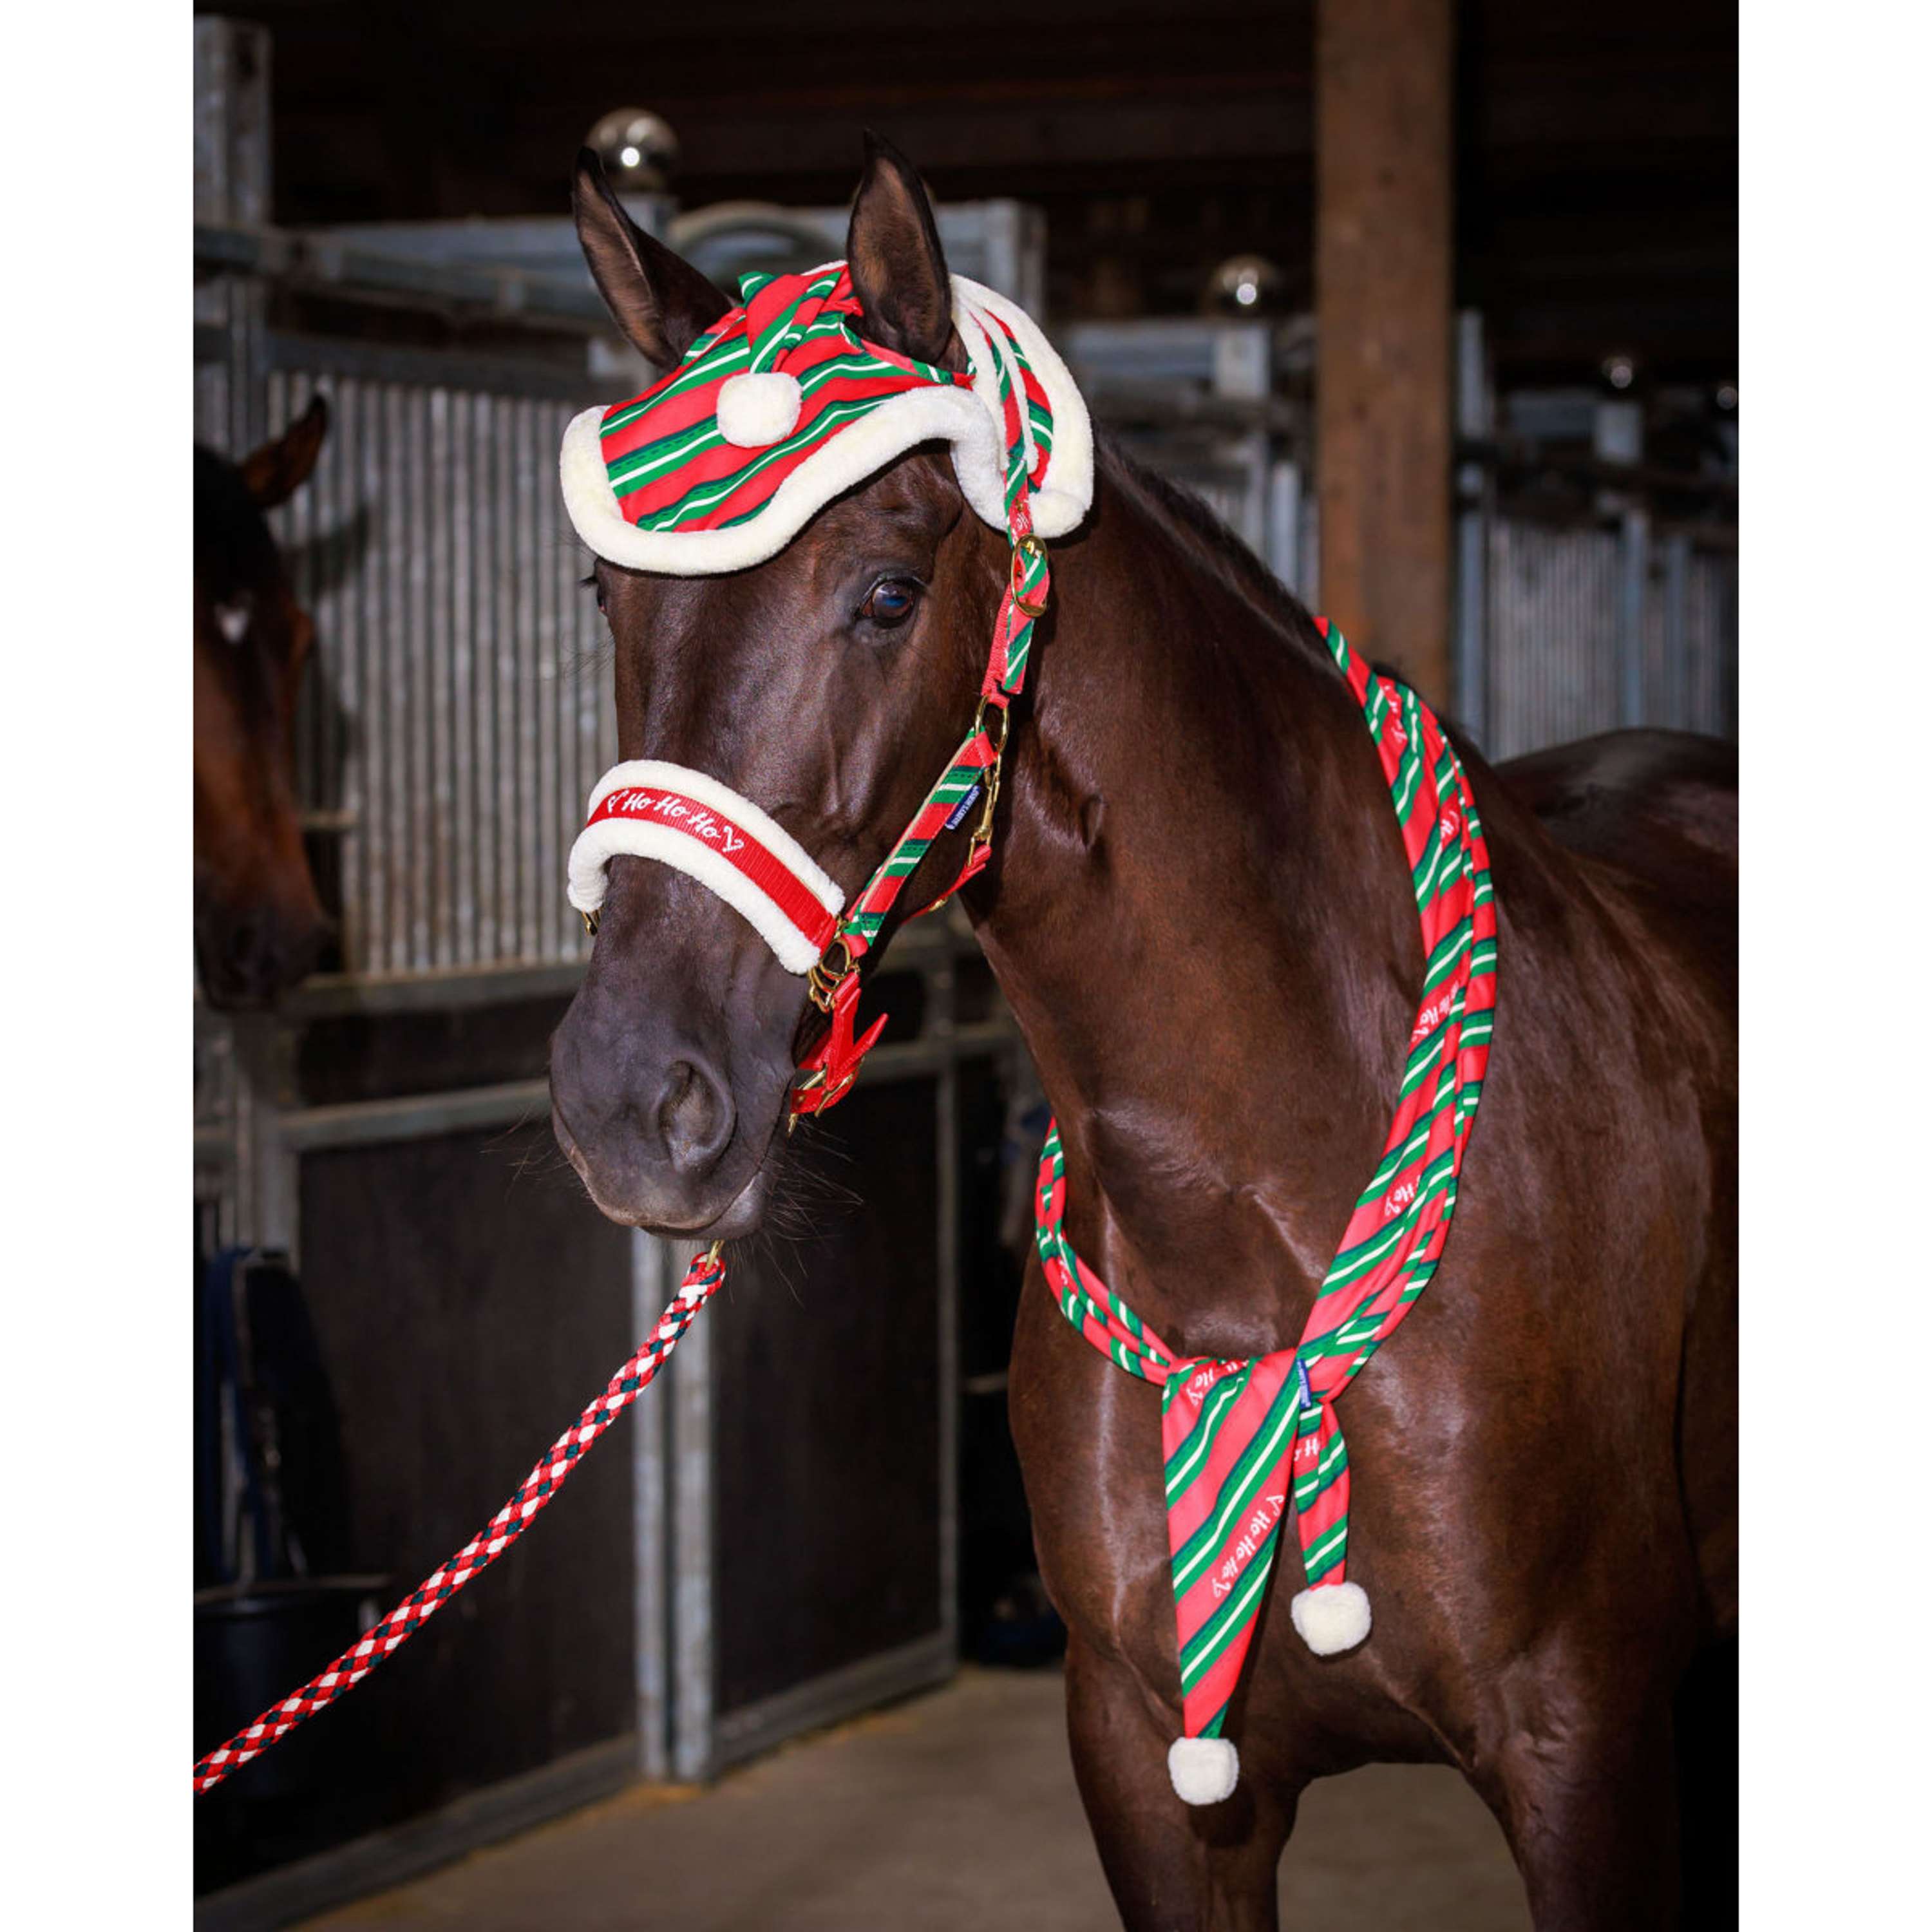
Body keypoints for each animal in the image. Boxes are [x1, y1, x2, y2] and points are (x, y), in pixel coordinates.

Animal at [547, 140, 1736, 1930]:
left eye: (887, 593)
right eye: (608, 591)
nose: (629, 1096)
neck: (1256, 1237)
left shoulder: (1587, 1753)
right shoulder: (1155, 1773)